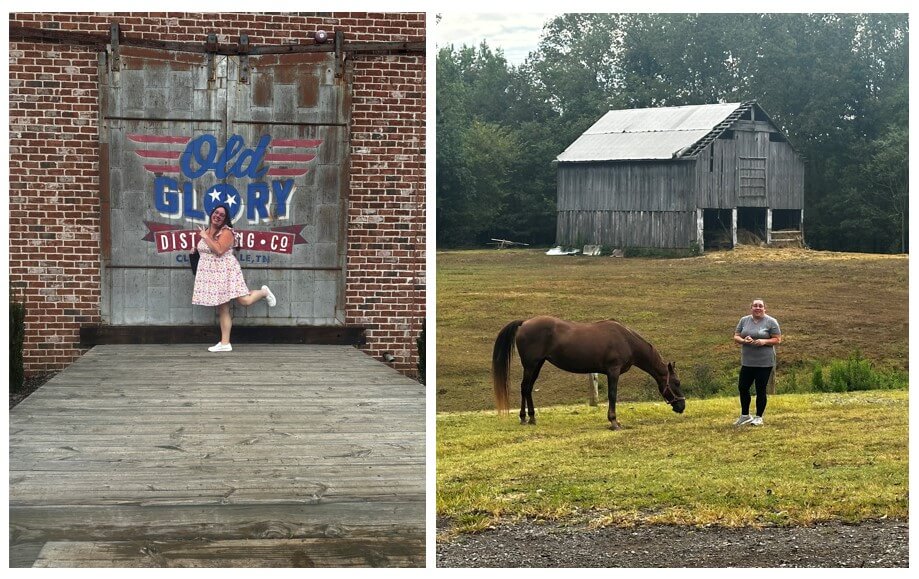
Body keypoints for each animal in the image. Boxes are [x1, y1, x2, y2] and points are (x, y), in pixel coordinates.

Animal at [496, 318, 684, 430]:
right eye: (676, 383)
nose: (682, 406)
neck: (626, 340)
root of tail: (524, 323)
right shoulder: (613, 371)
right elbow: (612, 395)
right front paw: (614, 421)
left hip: (537, 365)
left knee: (528, 388)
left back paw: (531, 418)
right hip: (531, 365)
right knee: (525, 387)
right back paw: (524, 418)